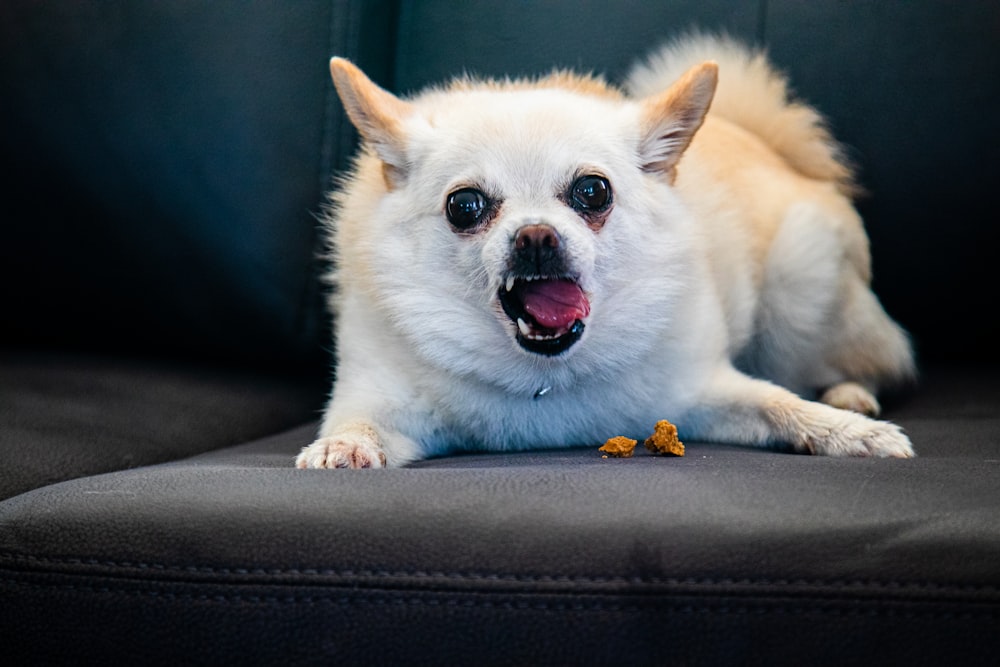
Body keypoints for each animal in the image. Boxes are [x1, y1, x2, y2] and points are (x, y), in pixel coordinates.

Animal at [294, 32, 916, 470]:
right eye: (464, 206)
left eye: (593, 192)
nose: (536, 236)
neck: (543, 377)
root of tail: (764, 142)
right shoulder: (378, 399)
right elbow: (357, 421)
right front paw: (343, 446)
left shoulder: (704, 391)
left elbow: (778, 403)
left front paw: (846, 433)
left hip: (798, 296)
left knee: (866, 362)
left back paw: (851, 394)